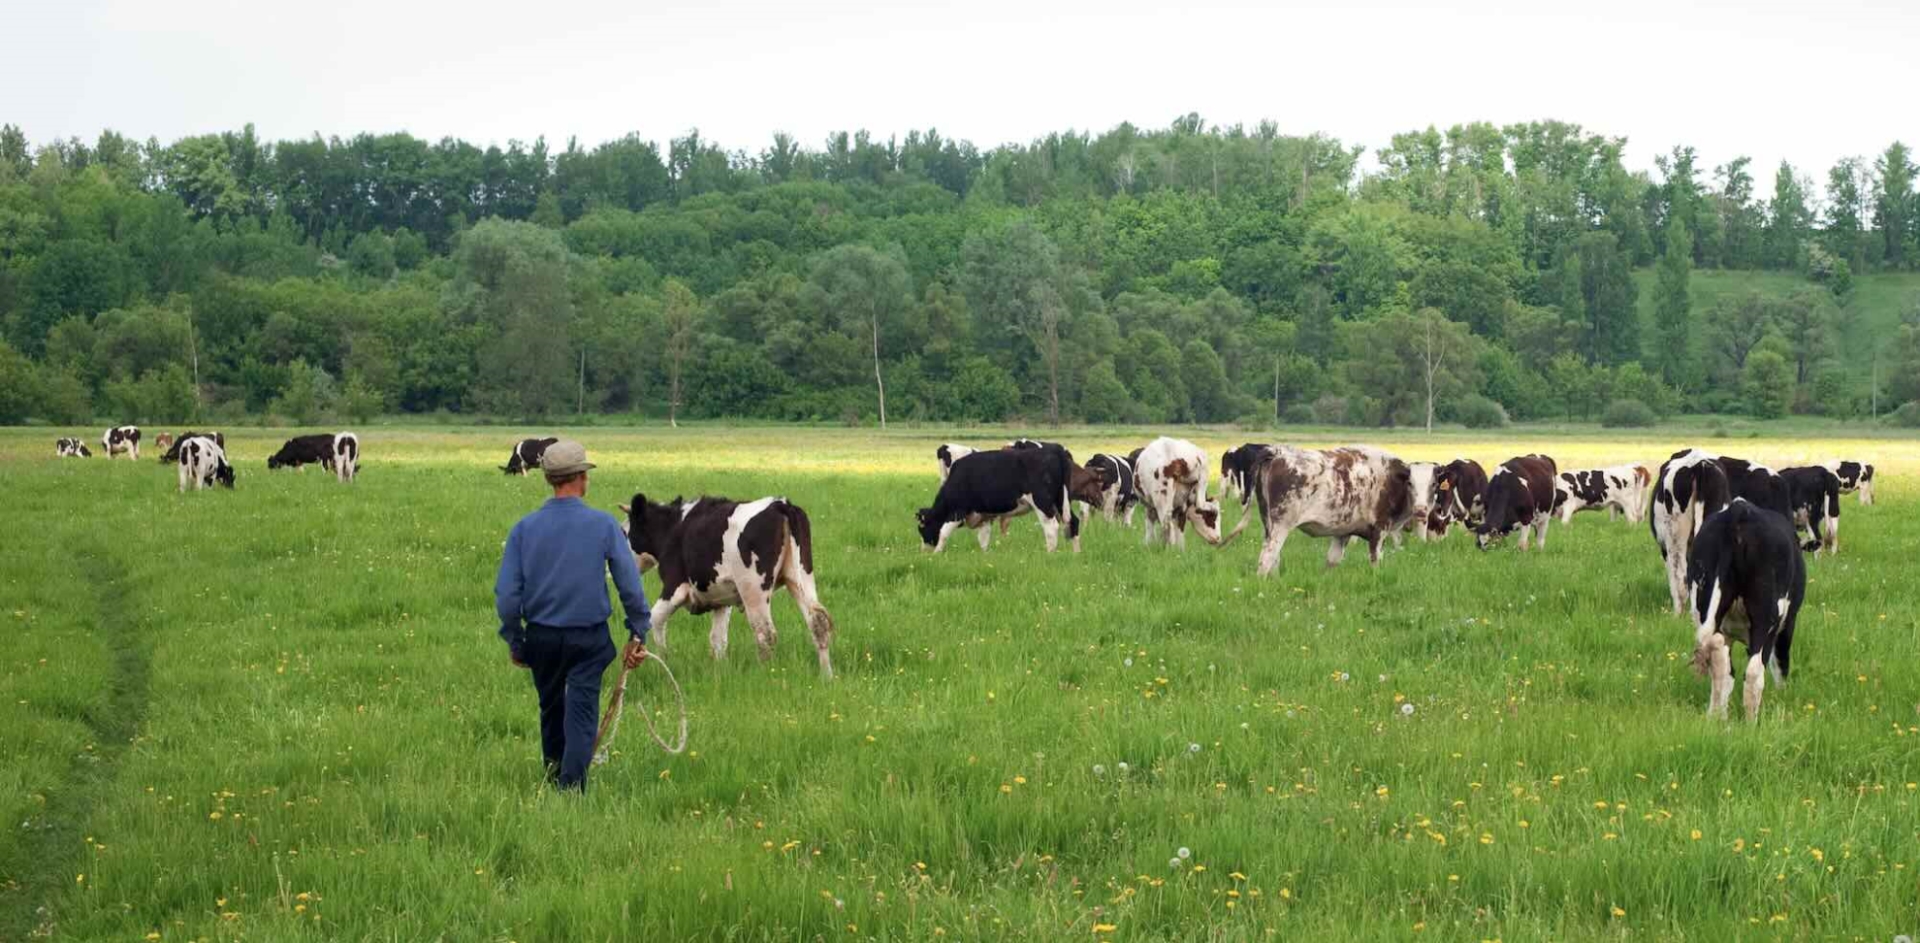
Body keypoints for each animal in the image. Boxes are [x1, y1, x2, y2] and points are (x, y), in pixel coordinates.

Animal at [625, 495, 837, 679]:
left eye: (624, 532)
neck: (672, 528)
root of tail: (780, 504)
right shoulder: (721, 601)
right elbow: (718, 639)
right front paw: (721, 671)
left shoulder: (674, 588)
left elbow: (654, 620)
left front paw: (662, 662)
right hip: (800, 576)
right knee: (817, 623)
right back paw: (826, 676)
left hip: (753, 591)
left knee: (765, 633)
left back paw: (766, 675)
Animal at [917, 449, 1082, 553]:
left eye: (922, 528)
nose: (923, 552)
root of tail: (1054, 451)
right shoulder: (984, 515)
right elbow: (983, 538)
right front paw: (985, 555)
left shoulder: (957, 511)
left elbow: (943, 532)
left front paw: (936, 553)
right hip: (1061, 500)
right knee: (1073, 521)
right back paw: (1076, 553)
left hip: (1042, 502)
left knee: (1051, 527)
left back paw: (1050, 553)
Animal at [1244, 445, 1413, 576]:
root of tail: (1277, 452)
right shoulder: (1380, 529)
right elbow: (1376, 560)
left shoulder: (1343, 531)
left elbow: (1333, 560)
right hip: (1281, 526)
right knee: (1267, 557)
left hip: (1268, 524)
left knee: (1274, 559)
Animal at [1689, 503, 1804, 722]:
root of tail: (1738, 510)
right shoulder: (1788, 624)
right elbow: (1781, 663)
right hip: (1765, 619)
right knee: (1754, 671)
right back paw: (1752, 723)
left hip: (1706, 607)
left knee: (1719, 661)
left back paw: (1716, 716)